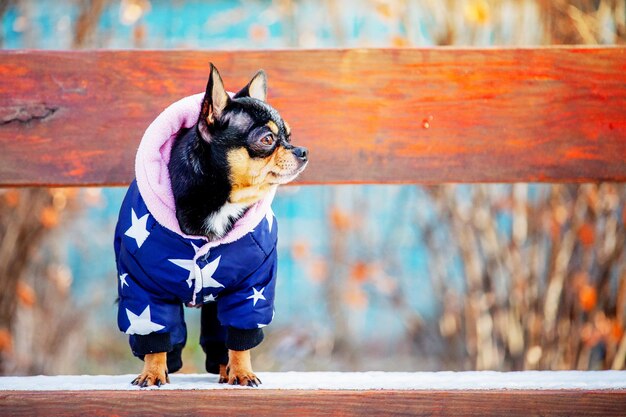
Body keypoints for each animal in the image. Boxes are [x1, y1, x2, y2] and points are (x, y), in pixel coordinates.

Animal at [114, 64, 308, 386]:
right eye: (267, 139)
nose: (302, 151)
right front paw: (152, 372)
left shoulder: (250, 290)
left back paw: (226, 369)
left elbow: (239, 338)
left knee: (220, 339)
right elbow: (155, 333)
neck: (221, 201)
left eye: (289, 135)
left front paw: (242, 371)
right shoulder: (143, 290)